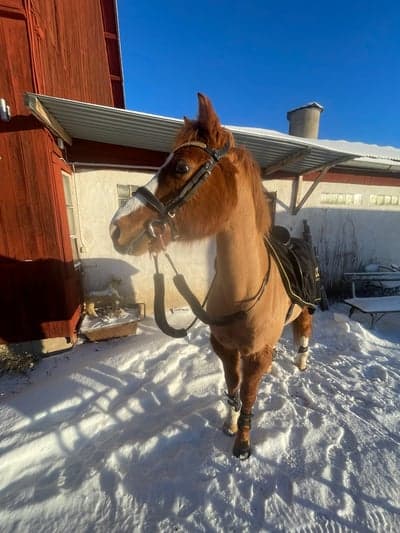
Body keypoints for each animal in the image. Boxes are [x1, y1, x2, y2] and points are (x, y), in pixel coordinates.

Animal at [109, 93, 312, 460]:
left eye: (181, 167)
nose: (116, 228)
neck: (241, 290)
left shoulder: (254, 355)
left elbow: (248, 396)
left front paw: (242, 445)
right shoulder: (225, 348)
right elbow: (232, 388)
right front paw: (229, 425)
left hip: (305, 310)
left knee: (304, 329)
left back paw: (302, 362)